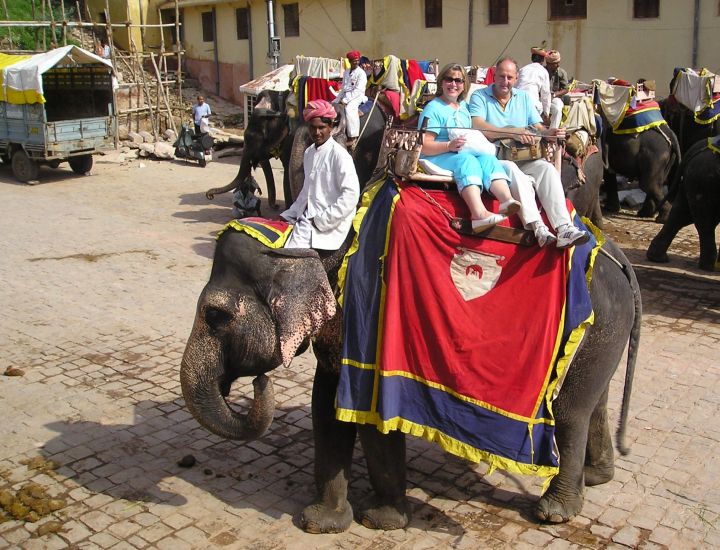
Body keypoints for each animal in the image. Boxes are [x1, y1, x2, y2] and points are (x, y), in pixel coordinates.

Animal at [180, 195, 640, 536]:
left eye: (216, 316)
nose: (260, 383)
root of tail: (615, 251)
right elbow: (326, 404)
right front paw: (320, 524)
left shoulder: (372, 320)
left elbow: (371, 415)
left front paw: (380, 522)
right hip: (605, 330)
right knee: (591, 401)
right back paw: (595, 478)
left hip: (596, 322)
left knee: (569, 413)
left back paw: (553, 512)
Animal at [648, 138, 720, 272]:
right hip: (702, 182)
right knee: (705, 223)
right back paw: (709, 267)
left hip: (694, 180)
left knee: (680, 215)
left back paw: (657, 258)